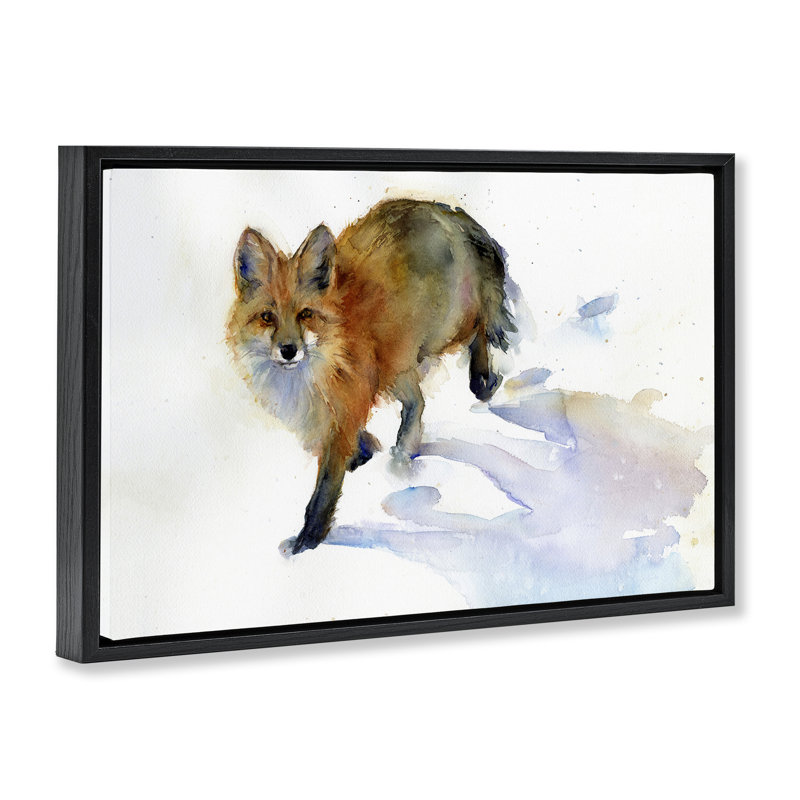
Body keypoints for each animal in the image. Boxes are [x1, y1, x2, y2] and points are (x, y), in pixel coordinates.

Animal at [226, 198, 515, 554]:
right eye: (267, 317)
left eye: (305, 314)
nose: (288, 350)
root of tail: (439, 208)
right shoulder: (334, 410)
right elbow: (355, 441)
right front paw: (364, 453)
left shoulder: (345, 410)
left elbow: (323, 491)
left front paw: (308, 541)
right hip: (398, 362)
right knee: (417, 403)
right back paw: (403, 451)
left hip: (440, 333)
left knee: (479, 327)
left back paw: (481, 378)